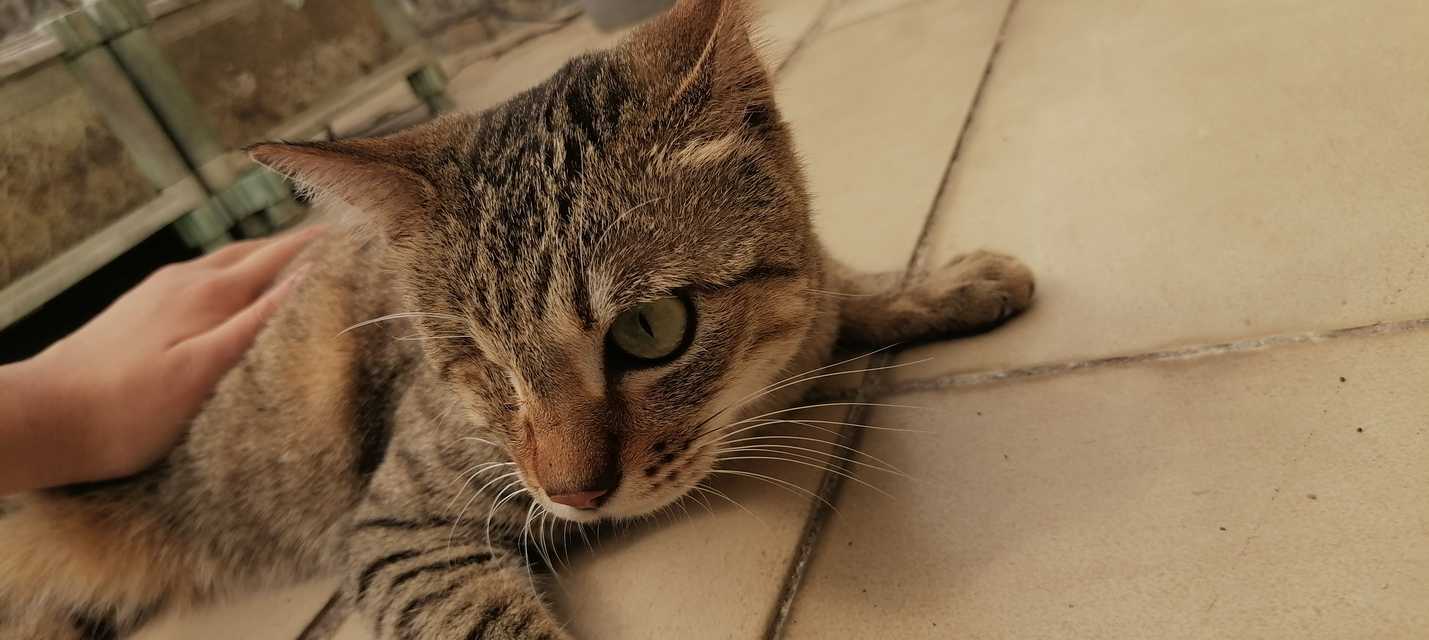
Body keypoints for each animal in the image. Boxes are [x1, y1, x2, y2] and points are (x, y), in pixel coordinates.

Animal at [0, 0, 1033, 638]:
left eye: (649, 330)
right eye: (476, 364)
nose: (573, 492)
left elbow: (836, 287)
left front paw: (939, 281)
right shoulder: (393, 527)